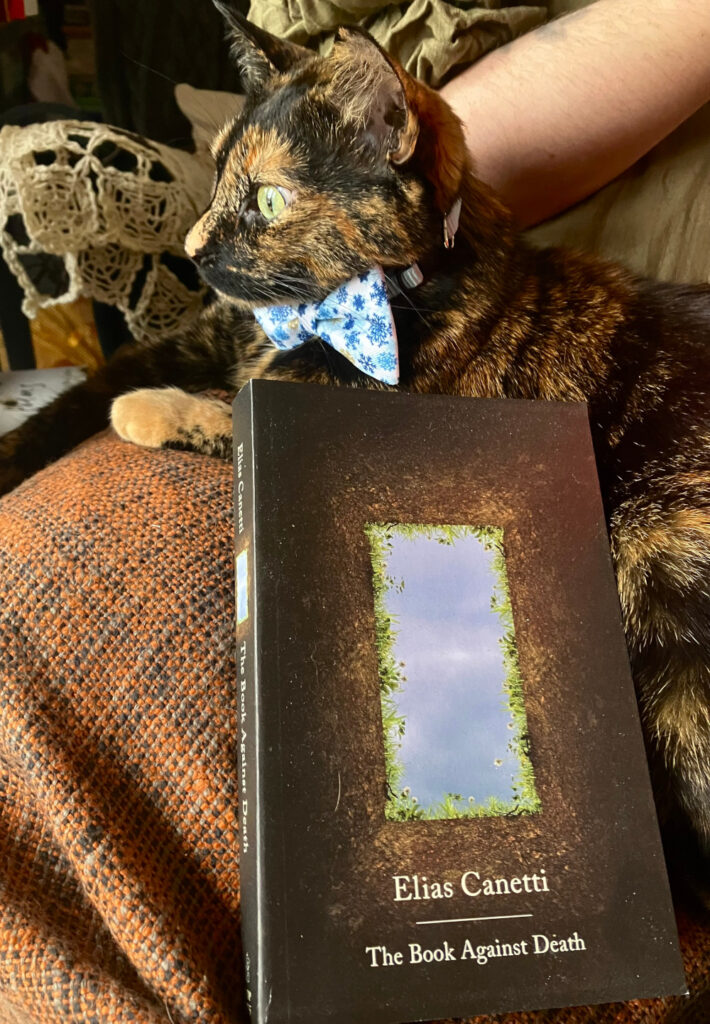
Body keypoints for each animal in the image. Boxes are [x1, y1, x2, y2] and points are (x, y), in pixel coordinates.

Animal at [1, 4, 708, 888]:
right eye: (216, 173)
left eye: (269, 199)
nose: (192, 253)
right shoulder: (203, 339)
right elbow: (87, 390)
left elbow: (220, 415)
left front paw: (145, 412)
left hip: (659, 551)